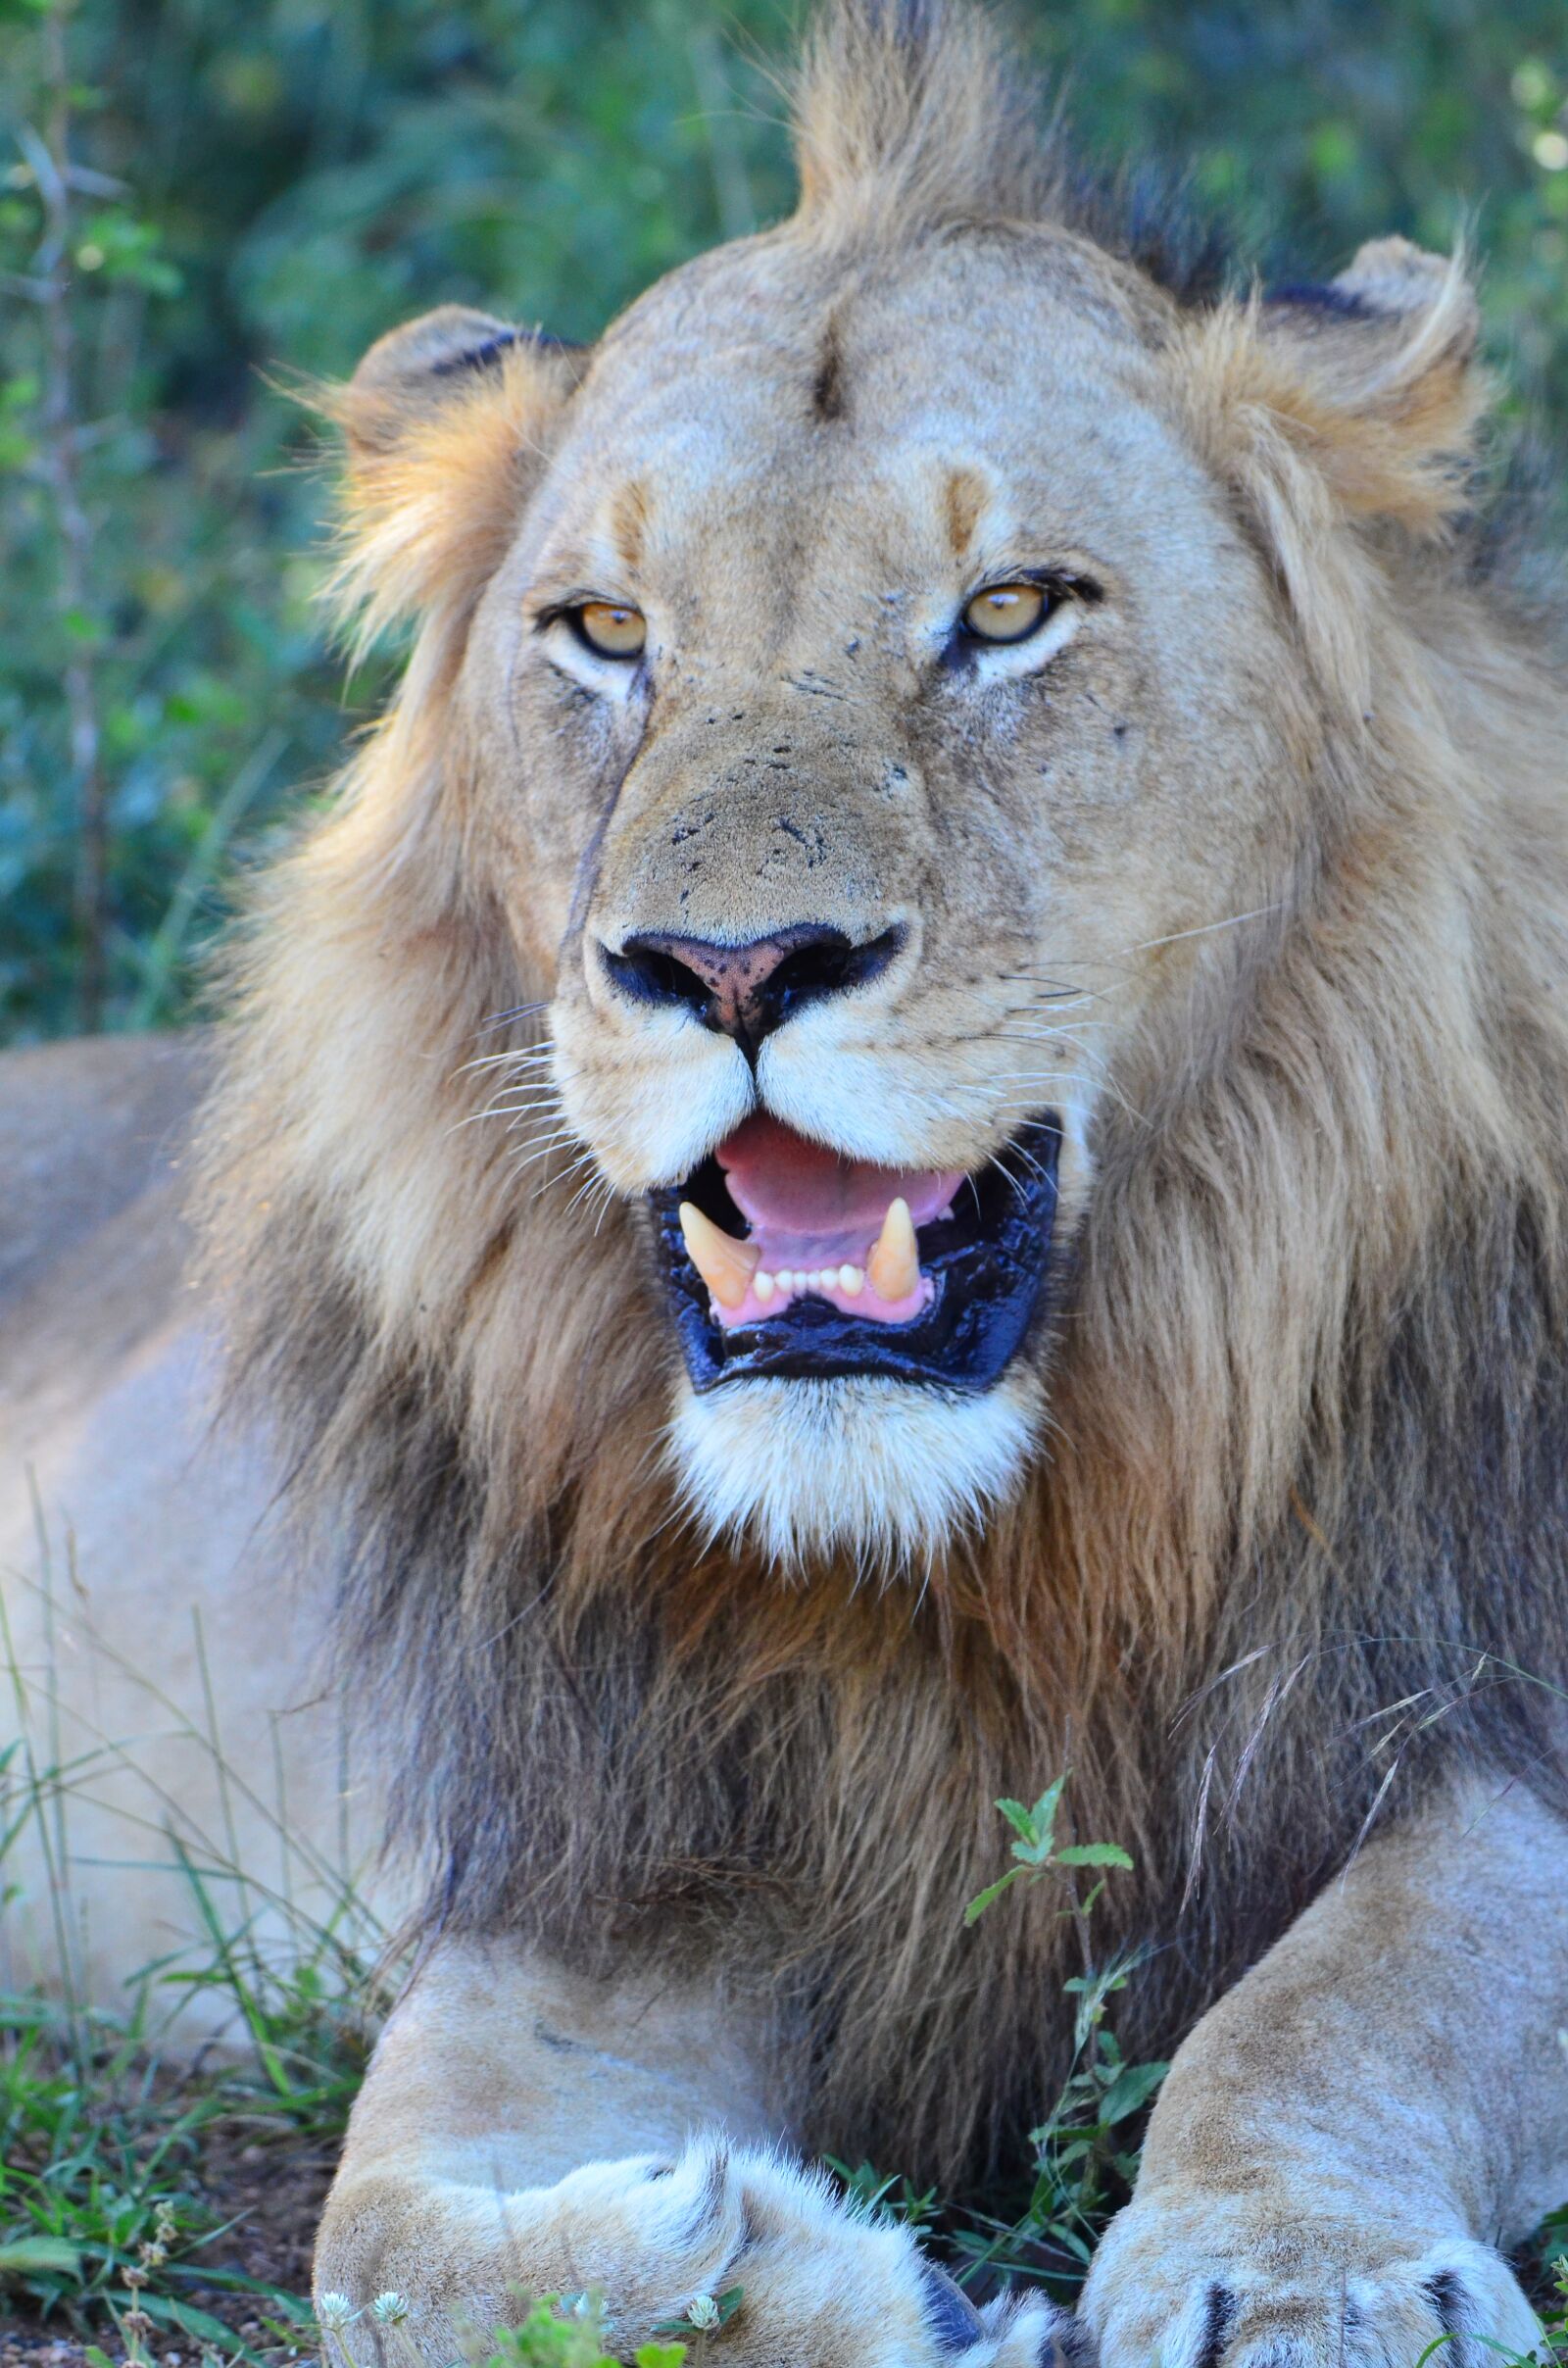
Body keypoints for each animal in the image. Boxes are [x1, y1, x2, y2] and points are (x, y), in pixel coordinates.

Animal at [5, 2, 1568, 2361]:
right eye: (602, 628)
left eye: (1008, 611)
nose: (731, 966)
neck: (981, 1556)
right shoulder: (599, 1859)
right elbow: (380, 2235)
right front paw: (779, 2271)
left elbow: (1354, 1993)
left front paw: (1295, 2267)